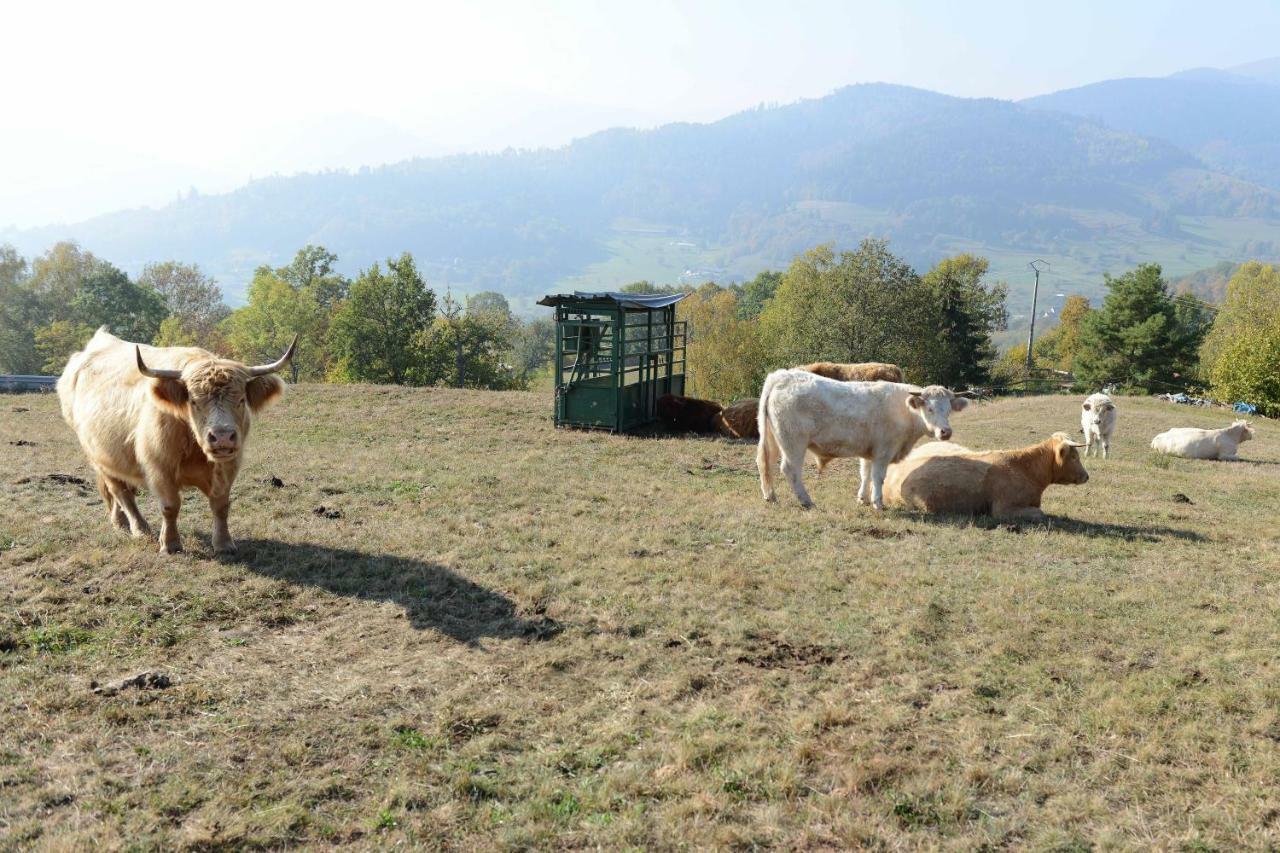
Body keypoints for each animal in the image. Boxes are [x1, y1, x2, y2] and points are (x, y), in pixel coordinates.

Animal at [57, 325, 294, 550]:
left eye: (241, 400)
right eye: (194, 401)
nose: (222, 437)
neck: (195, 448)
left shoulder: (228, 465)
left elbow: (220, 505)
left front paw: (224, 543)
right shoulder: (160, 467)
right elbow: (170, 506)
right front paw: (170, 544)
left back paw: (120, 522)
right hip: (98, 457)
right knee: (121, 491)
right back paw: (139, 528)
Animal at [752, 368, 962, 507]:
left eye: (949, 409)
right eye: (930, 408)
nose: (946, 431)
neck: (904, 410)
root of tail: (781, 375)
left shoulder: (869, 451)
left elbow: (865, 473)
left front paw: (863, 498)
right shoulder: (883, 451)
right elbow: (878, 477)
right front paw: (878, 503)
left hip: (772, 438)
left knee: (765, 463)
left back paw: (770, 496)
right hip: (793, 442)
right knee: (790, 469)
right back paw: (806, 501)